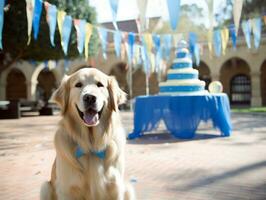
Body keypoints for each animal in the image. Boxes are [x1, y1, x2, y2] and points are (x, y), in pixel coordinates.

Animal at [40, 67, 135, 200]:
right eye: (78, 85)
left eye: (100, 84)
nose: (89, 97)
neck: (91, 146)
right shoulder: (66, 190)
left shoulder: (116, 188)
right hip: (45, 187)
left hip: (128, 189)